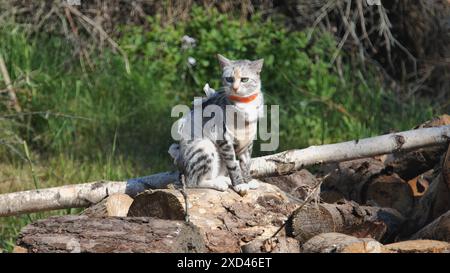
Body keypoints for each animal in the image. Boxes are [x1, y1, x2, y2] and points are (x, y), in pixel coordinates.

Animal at [169, 53, 264, 193]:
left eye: (244, 79)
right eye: (229, 79)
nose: (235, 87)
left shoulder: (248, 142)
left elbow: (246, 164)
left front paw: (248, 181)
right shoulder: (224, 140)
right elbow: (234, 165)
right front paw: (240, 185)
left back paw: (223, 180)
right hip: (204, 147)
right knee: (192, 181)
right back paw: (219, 184)